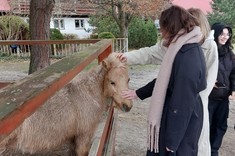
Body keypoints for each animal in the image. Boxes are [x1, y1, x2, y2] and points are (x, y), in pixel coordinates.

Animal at [0, 52, 132, 156]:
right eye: (112, 82)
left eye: (128, 79)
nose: (127, 106)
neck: (87, 92)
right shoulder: (84, 134)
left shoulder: (73, 137)